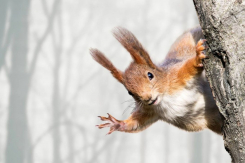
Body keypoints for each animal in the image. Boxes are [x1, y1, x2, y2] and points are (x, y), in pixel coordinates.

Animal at [91, 25, 223, 135]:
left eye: (150, 75)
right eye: (129, 92)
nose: (148, 98)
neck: (164, 98)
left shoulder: (177, 76)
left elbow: (188, 67)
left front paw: (197, 57)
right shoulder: (149, 111)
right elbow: (136, 123)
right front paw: (117, 123)